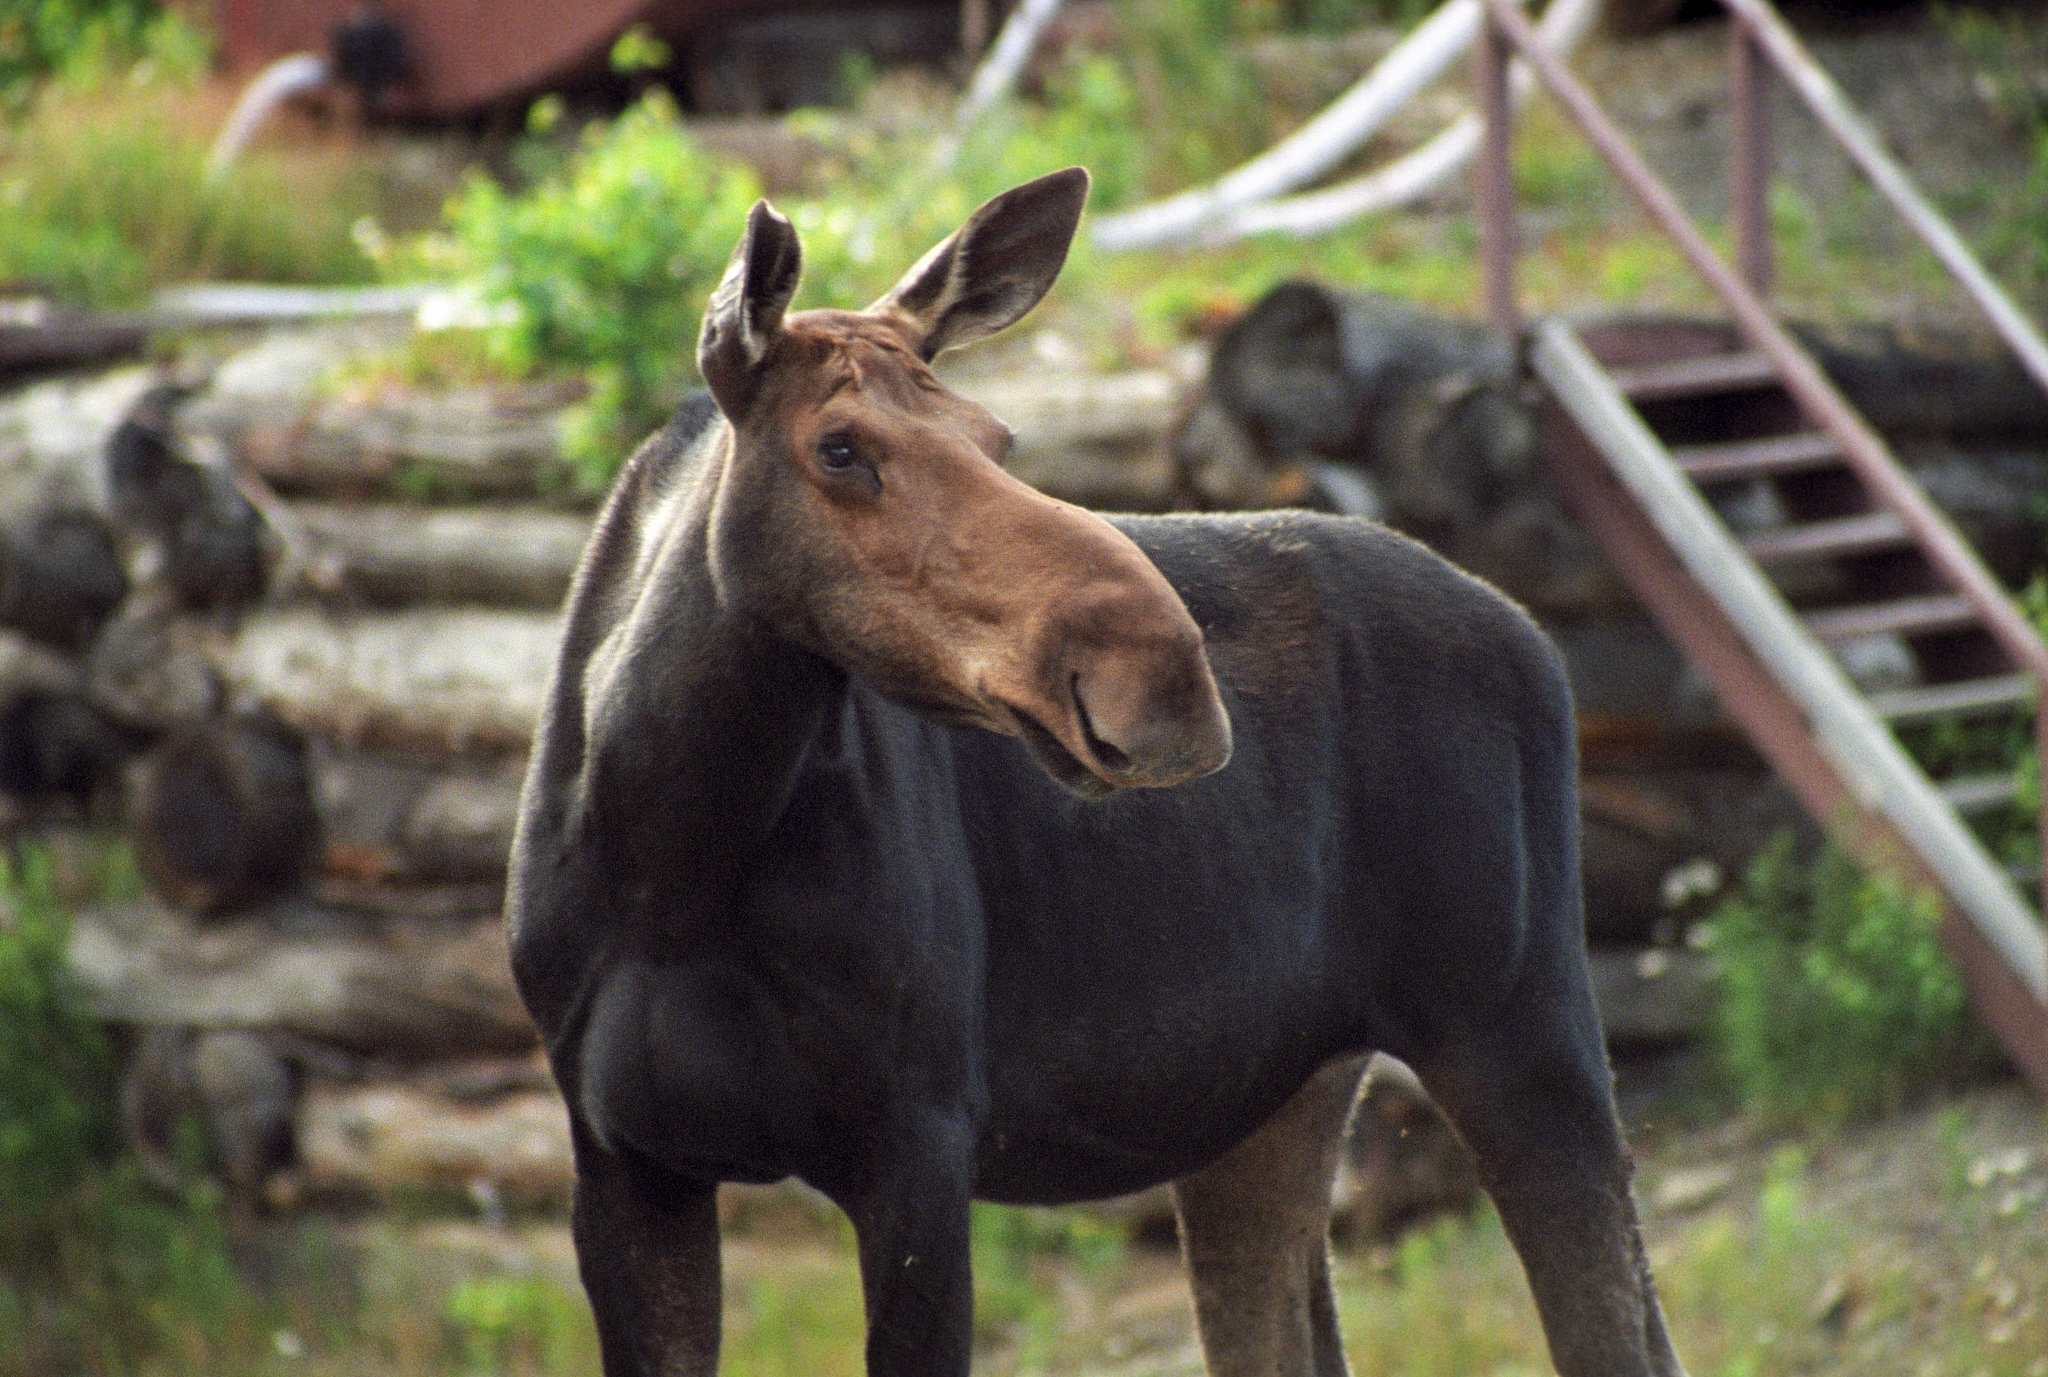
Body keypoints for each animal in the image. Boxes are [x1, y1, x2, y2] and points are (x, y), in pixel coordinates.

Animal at [507, 166, 1690, 1377]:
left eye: (998, 436)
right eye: (838, 448)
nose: (1165, 676)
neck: (672, 846)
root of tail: (1534, 638)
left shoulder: (916, 1141)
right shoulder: (622, 1163)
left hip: (1520, 1027)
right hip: (1267, 1104)